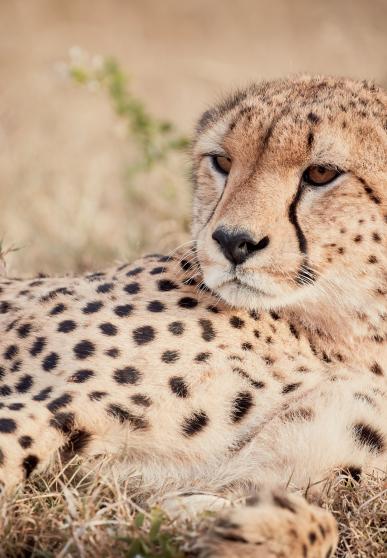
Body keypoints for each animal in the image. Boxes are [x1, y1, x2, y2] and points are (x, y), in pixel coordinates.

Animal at [0, 75, 386, 558]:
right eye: (222, 162)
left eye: (320, 173)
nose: (233, 241)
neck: (347, 335)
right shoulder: (40, 406)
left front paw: (250, 531)